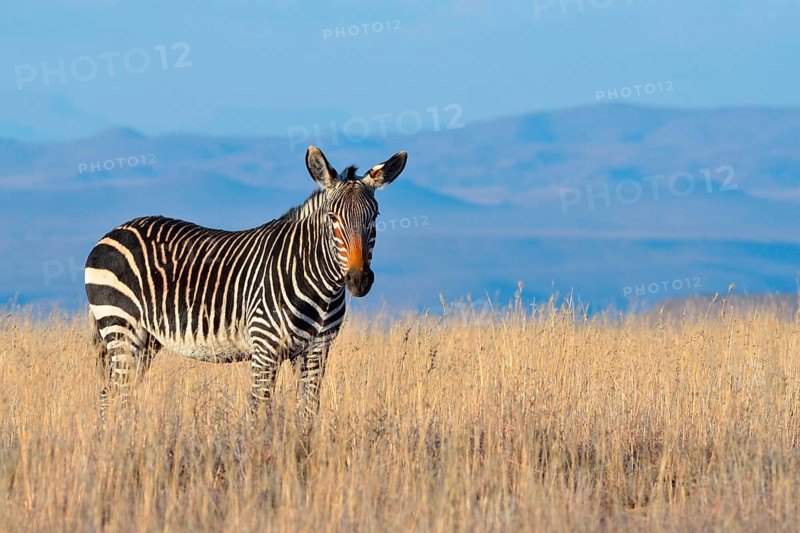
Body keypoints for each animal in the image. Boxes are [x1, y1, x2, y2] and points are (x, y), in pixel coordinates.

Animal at [84, 145, 407, 420]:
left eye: (374, 216)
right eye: (332, 218)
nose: (359, 279)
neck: (321, 291)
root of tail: (114, 231)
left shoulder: (317, 350)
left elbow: (307, 413)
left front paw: (304, 451)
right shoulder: (265, 348)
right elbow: (259, 412)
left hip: (146, 341)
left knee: (114, 395)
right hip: (121, 327)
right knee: (115, 396)